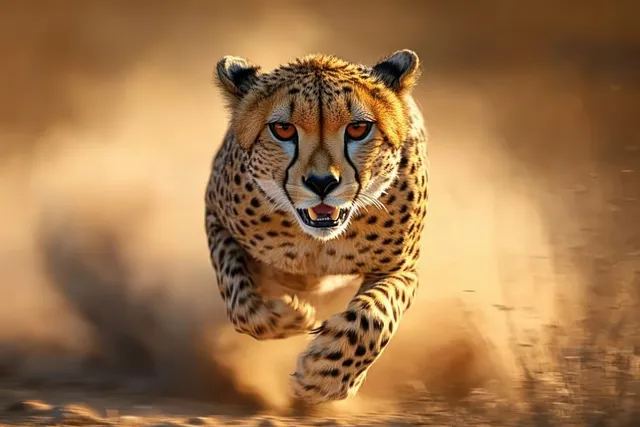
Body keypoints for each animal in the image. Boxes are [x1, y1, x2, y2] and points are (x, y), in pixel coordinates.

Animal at [204, 49, 429, 404]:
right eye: (283, 129)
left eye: (358, 129)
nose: (322, 183)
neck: (319, 241)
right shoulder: (216, 218)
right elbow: (239, 300)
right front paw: (288, 315)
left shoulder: (400, 268)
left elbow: (376, 317)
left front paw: (324, 376)